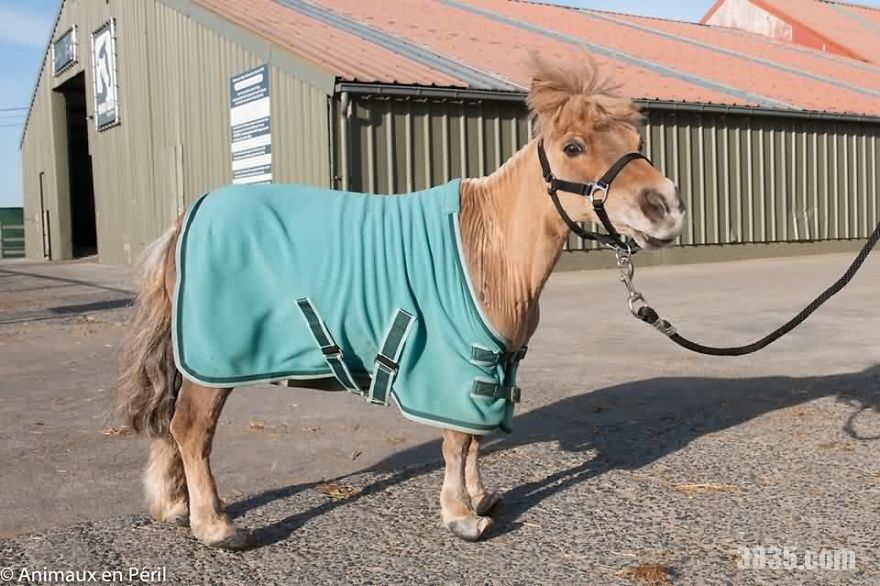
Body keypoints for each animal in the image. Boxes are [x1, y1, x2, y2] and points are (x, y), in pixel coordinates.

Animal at [117, 56, 685, 549]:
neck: (486, 246)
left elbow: (475, 436)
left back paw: (175, 507)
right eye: (572, 146)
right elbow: (456, 439)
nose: (666, 208)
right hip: (212, 362)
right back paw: (215, 526)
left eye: (637, 140)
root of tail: (186, 218)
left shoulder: (492, 363)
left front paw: (480, 498)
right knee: (191, 429)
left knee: (170, 426)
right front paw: (460, 516)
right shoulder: (456, 359)